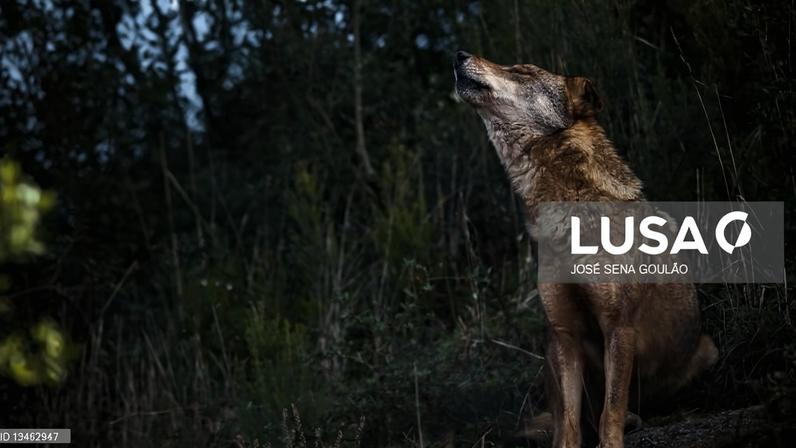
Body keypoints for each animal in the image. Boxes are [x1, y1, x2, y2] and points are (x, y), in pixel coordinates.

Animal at [453, 51, 718, 448]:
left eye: (522, 72)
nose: (459, 55)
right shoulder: (565, 335)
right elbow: (570, 422)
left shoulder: (617, 327)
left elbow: (610, 411)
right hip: (550, 351)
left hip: (707, 351)